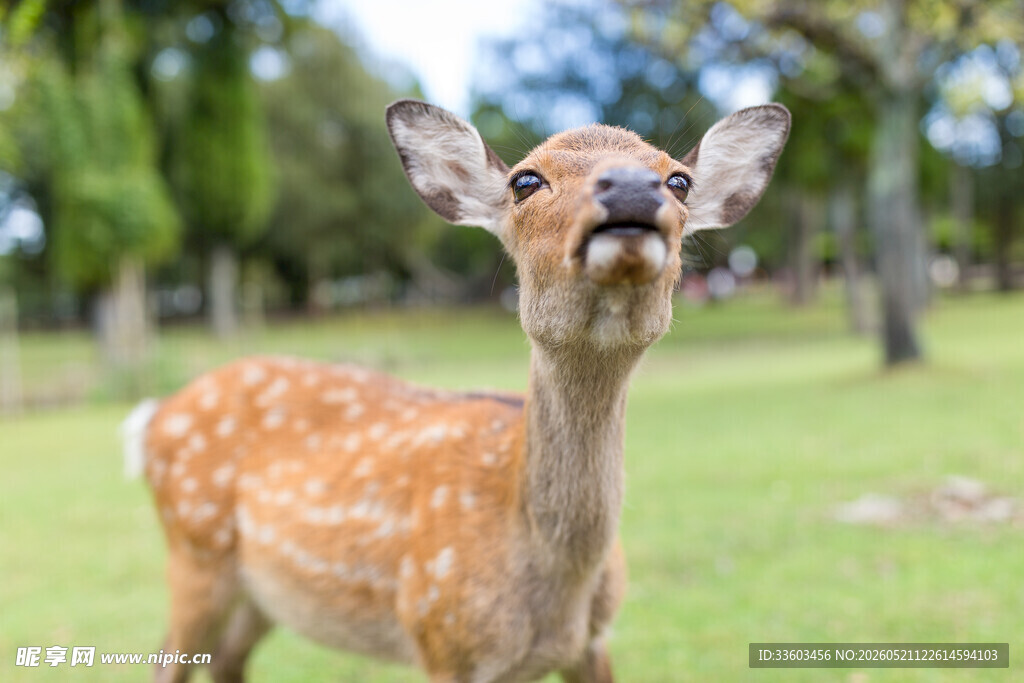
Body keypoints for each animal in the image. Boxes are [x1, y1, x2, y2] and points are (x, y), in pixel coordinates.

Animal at [124, 99, 789, 682]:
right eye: (525, 181)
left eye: (679, 180)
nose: (630, 187)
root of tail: (152, 418)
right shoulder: (441, 636)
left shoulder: (594, 640)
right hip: (195, 552)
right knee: (167, 660)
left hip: (260, 593)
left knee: (227, 659)